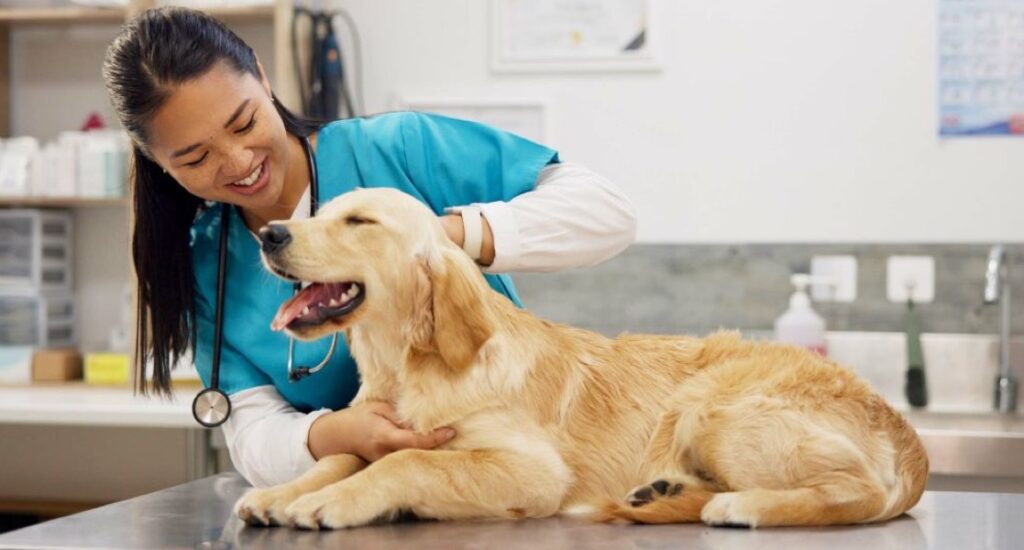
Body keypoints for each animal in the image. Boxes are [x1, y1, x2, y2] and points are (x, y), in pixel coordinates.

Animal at [235, 187, 933, 528]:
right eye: (321, 212)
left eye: (359, 222)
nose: (269, 233)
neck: (408, 367)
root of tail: (910, 440)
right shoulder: (375, 427)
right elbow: (344, 455)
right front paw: (284, 492)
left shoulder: (531, 471)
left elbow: (405, 461)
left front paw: (329, 503)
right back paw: (664, 491)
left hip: (715, 406)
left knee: (857, 493)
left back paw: (741, 507)